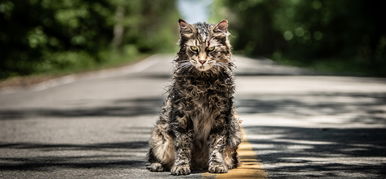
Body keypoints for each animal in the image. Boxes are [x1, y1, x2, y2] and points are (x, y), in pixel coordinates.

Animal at [146, 18, 240, 176]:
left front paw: (217, 165)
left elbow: (217, 144)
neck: (203, 81)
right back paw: (157, 165)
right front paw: (181, 166)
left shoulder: (220, 116)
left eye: (211, 49)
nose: (202, 61)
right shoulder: (182, 115)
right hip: (159, 135)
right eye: (194, 49)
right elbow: (183, 145)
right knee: (153, 156)